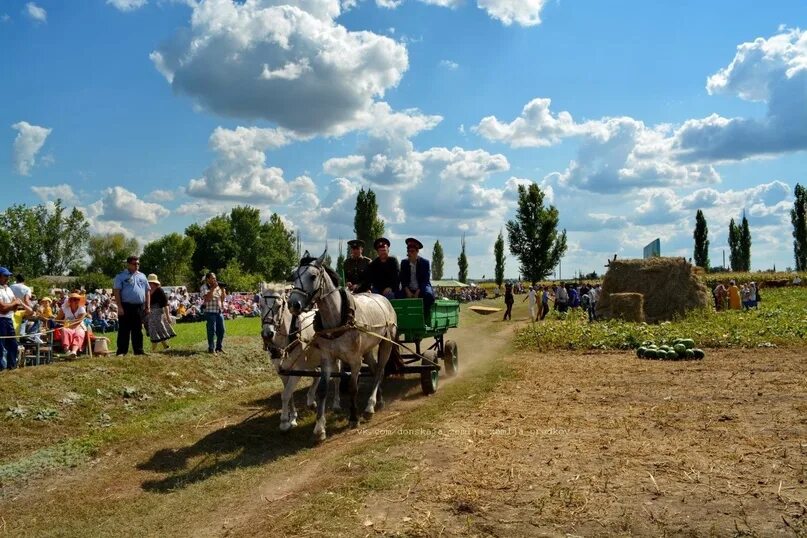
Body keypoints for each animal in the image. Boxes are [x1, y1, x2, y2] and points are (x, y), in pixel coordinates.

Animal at [260, 282, 340, 430]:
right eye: (260, 305)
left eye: (278, 306)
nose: (267, 334)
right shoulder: (282, 371)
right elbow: (289, 393)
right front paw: (292, 417)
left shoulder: (297, 369)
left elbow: (285, 394)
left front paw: (284, 421)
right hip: (312, 360)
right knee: (317, 374)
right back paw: (311, 400)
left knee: (337, 378)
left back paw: (336, 403)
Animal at [288, 251, 398, 440]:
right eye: (294, 275)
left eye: (313, 276)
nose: (293, 304)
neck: (338, 319)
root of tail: (383, 298)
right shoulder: (327, 358)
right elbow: (323, 389)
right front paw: (319, 428)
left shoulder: (354, 360)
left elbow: (353, 387)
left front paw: (353, 418)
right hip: (367, 350)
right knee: (375, 369)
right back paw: (379, 400)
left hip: (386, 343)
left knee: (380, 371)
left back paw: (369, 406)